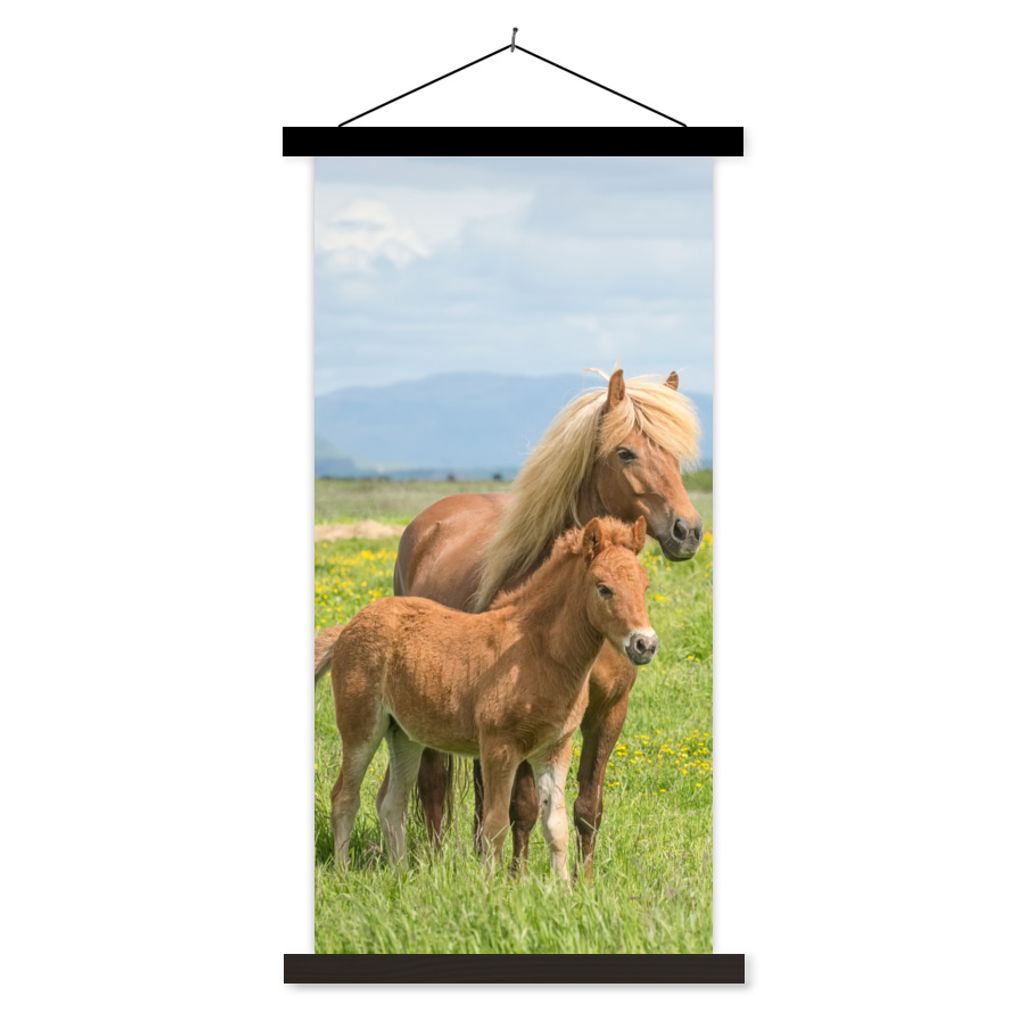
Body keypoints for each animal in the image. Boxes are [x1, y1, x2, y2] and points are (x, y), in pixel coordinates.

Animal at [319, 516, 656, 878]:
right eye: (603, 588)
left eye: (645, 587)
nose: (645, 644)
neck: (536, 652)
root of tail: (348, 627)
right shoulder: (499, 747)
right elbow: (494, 824)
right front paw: (491, 886)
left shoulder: (554, 748)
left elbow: (556, 826)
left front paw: (564, 887)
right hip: (361, 727)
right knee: (344, 796)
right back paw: (343, 871)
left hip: (403, 734)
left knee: (392, 803)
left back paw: (402, 874)